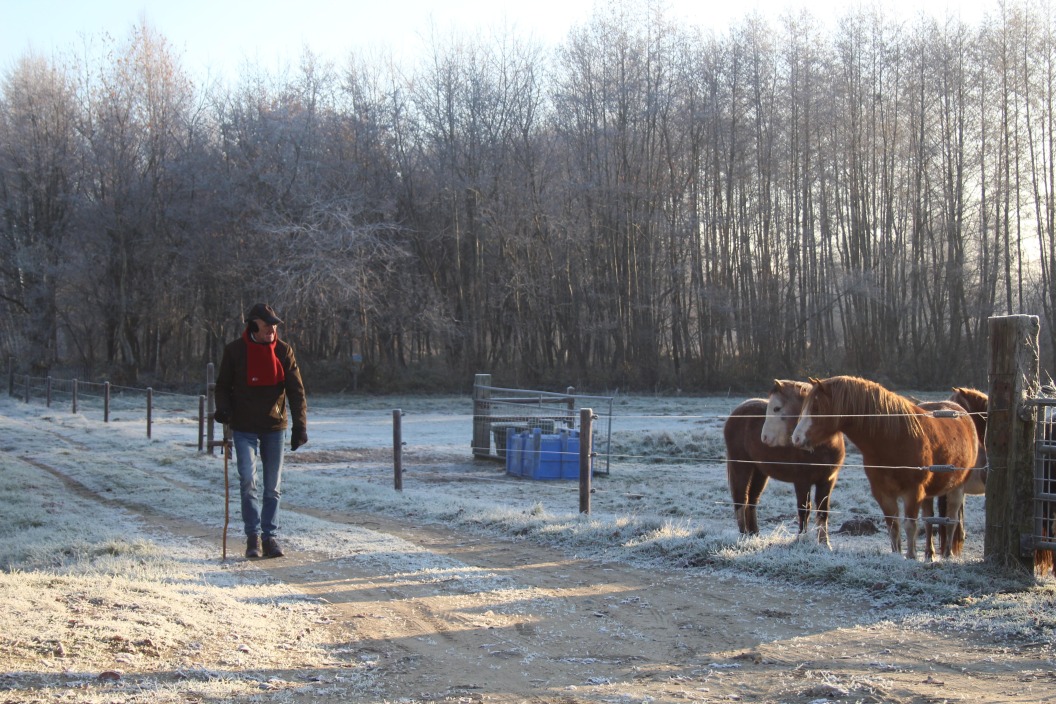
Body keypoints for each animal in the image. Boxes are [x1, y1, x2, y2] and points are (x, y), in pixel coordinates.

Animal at [726, 382, 849, 548]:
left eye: (777, 408)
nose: (764, 437)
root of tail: (738, 411)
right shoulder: (802, 481)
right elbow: (804, 509)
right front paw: (801, 539)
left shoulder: (827, 481)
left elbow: (823, 511)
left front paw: (825, 544)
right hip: (741, 466)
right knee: (740, 496)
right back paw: (744, 534)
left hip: (760, 472)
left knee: (752, 499)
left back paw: (754, 534)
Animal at [794, 373, 971, 561]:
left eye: (816, 407)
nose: (796, 438)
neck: (894, 439)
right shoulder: (882, 492)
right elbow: (893, 525)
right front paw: (896, 554)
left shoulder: (913, 492)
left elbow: (910, 525)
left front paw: (911, 556)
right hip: (929, 493)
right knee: (929, 519)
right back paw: (929, 555)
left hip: (957, 489)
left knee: (951, 520)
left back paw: (947, 554)